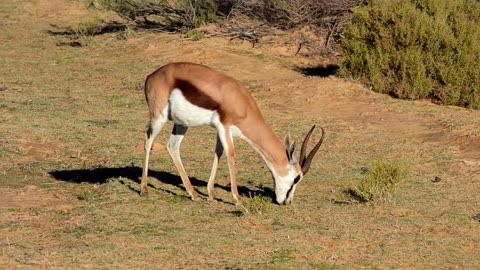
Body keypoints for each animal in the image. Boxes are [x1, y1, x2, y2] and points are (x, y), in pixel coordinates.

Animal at [141, 62, 324, 206]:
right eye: (296, 178)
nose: (287, 201)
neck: (241, 101)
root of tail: (151, 75)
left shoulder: (222, 130)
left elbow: (219, 153)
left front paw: (211, 194)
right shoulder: (225, 126)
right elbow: (231, 155)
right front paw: (237, 198)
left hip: (181, 123)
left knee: (172, 146)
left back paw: (193, 193)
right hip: (159, 117)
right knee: (148, 141)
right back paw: (144, 189)